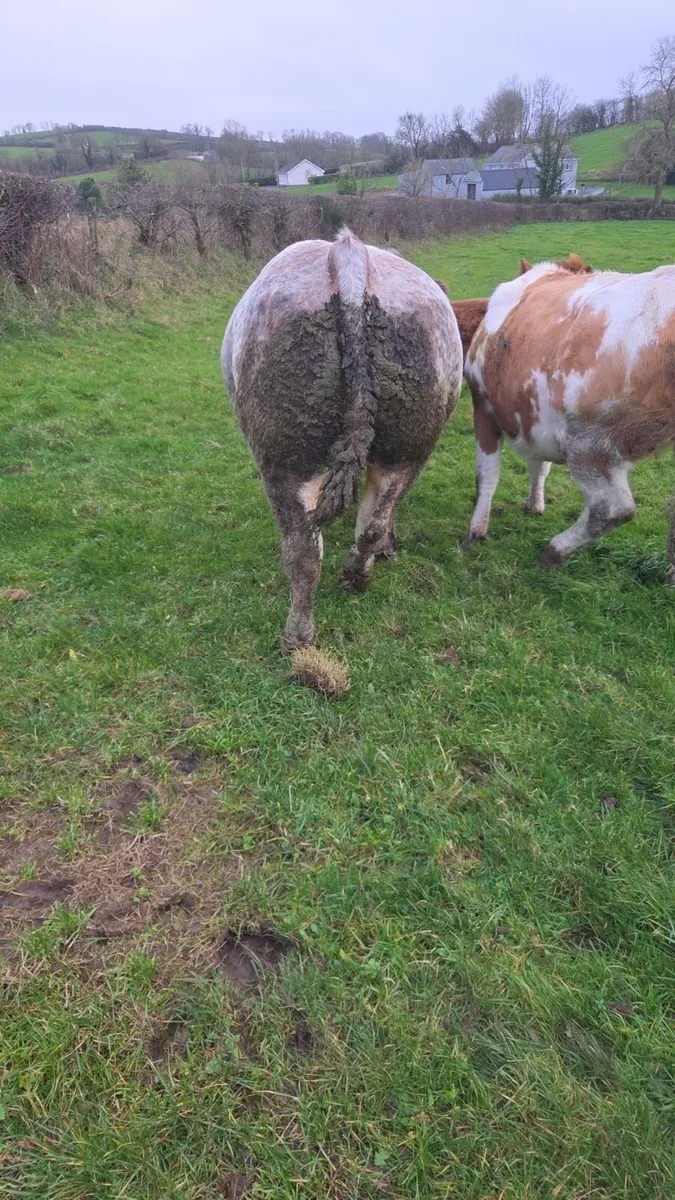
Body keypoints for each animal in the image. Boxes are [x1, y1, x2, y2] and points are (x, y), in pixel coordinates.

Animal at [221, 228, 463, 651]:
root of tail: (349, 256)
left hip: (283, 459)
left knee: (303, 552)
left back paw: (297, 637)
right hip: (409, 448)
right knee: (371, 523)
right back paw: (357, 575)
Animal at [462, 255, 675, 573]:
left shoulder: (483, 405)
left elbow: (487, 474)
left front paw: (476, 529)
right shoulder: (533, 417)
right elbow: (539, 467)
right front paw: (534, 504)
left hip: (590, 443)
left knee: (612, 509)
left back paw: (556, 550)